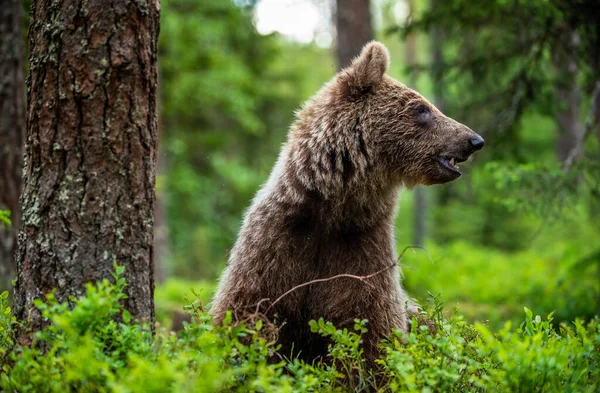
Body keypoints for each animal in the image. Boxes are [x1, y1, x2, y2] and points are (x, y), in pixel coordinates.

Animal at [210, 39, 482, 362]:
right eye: (422, 108)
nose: (474, 140)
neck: (333, 208)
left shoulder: (362, 248)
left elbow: (370, 329)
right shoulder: (276, 244)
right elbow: (246, 313)